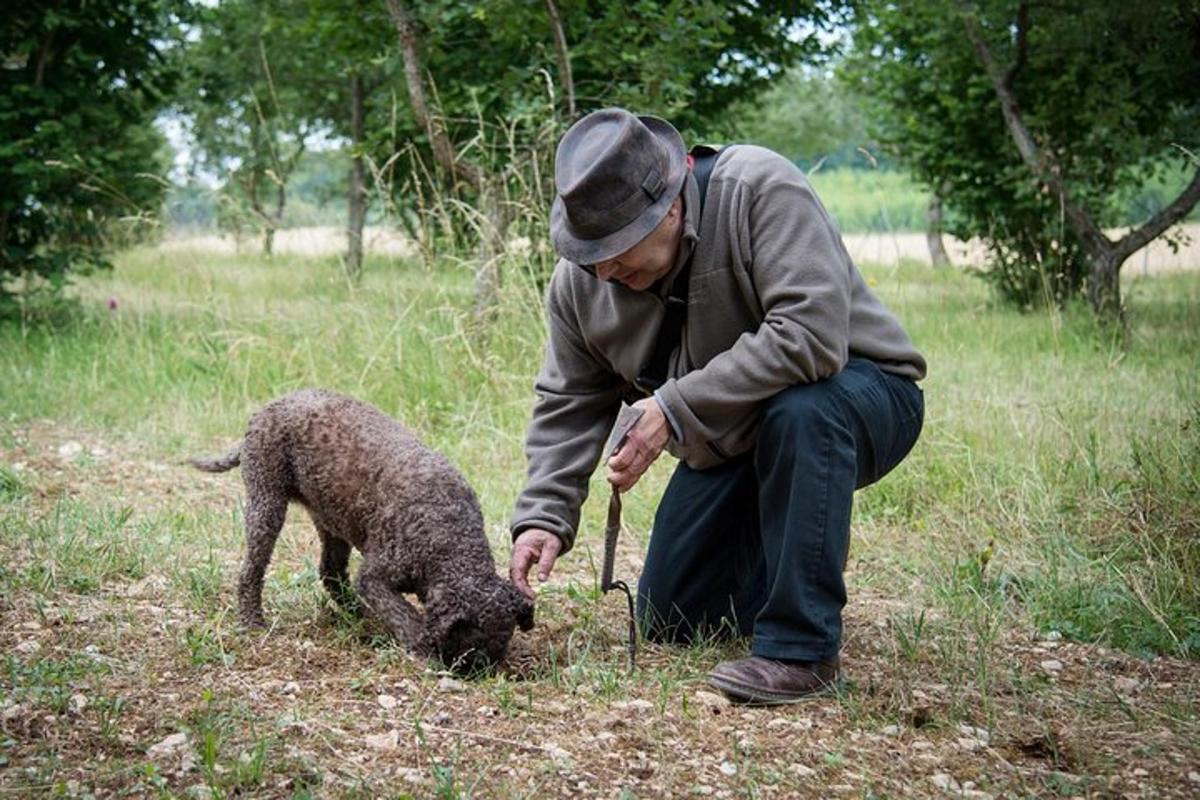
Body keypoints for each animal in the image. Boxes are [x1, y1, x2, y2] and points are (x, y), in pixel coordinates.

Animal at [190, 388, 530, 671]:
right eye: (473, 644)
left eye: (501, 644)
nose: (480, 673)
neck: (446, 538)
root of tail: (269, 406)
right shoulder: (374, 578)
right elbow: (404, 615)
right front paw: (422, 647)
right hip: (267, 502)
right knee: (252, 570)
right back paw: (252, 621)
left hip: (332, 522)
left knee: (330, 573)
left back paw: (359, 616)